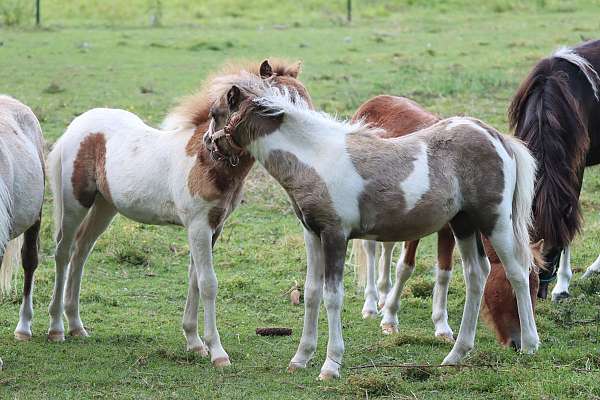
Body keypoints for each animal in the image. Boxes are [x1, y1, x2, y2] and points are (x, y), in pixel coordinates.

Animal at [352, 95, 544, 348]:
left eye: (537, 287)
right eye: (507, 289)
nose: (517, 342)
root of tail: (375, 100)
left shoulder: (448, 231)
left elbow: (444, 273)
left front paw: (441, 326)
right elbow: (405, 267)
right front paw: (390, 318)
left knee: (387, 247)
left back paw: (384, 295)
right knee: (371, 250)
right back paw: (372, 304)